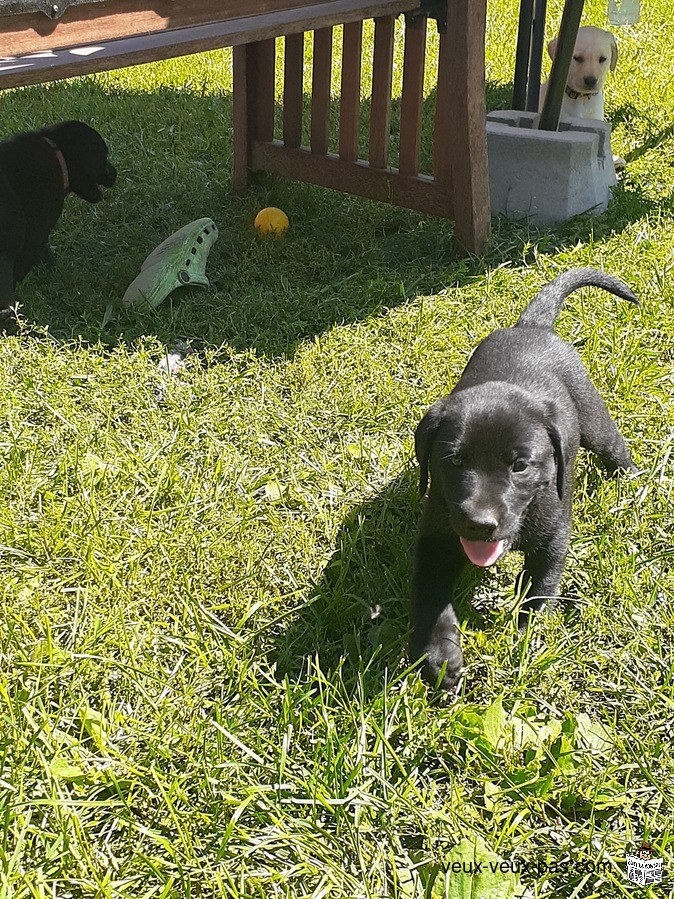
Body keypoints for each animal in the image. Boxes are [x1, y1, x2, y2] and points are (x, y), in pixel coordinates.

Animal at [410, 266, 636, 688]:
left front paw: (525, 639)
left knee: (615, 447)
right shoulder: (435, 537)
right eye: (454, 461)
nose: (479, 524)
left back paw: (635, 478)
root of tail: (531, 327)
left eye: (520, 466)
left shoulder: (554, 537)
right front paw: (439, 655)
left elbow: (539, 587)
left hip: (594, 420)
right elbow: (430, 595)